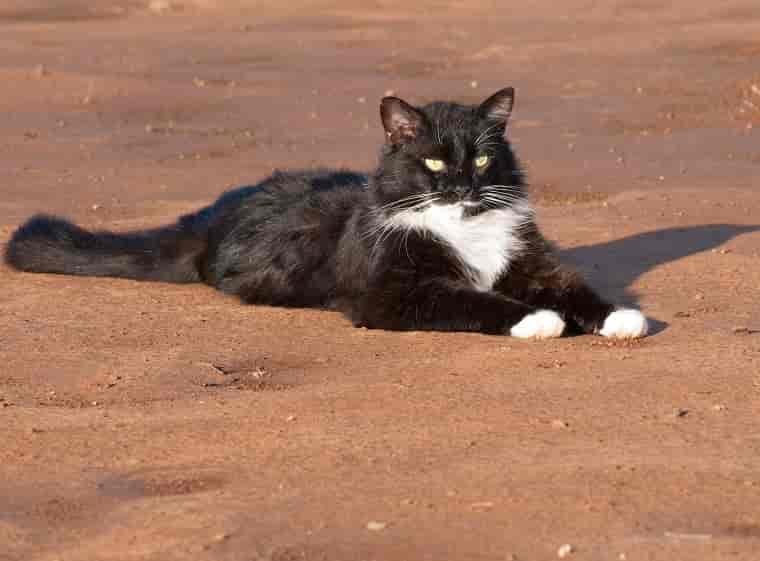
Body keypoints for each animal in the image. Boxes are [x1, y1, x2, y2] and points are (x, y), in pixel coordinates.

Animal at [4, 87, 648, 340]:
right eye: (435, 163)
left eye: (485, 158)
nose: (464, 184)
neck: (465, 229)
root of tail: (210, 219)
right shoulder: (394, 290)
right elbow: (474, 299)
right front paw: (537, 320)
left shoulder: (531, 262)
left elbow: (574, 288)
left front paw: (620, 317)